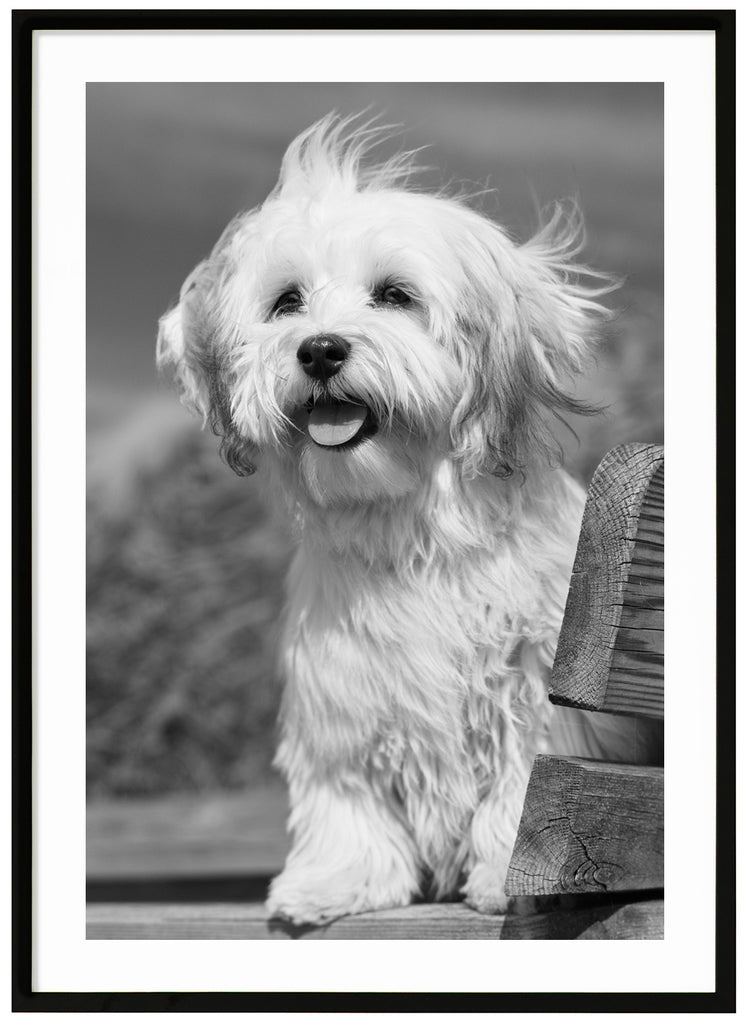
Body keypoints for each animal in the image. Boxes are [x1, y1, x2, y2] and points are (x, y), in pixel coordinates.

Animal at [158, 116, 651, 925]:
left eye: (394, 295)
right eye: (286, 302)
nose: (320, 349)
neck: (410, 526)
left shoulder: (536, 690)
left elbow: (523, 782)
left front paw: (506, 876)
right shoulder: (343, 698)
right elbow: (346, 798)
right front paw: (335, 881)